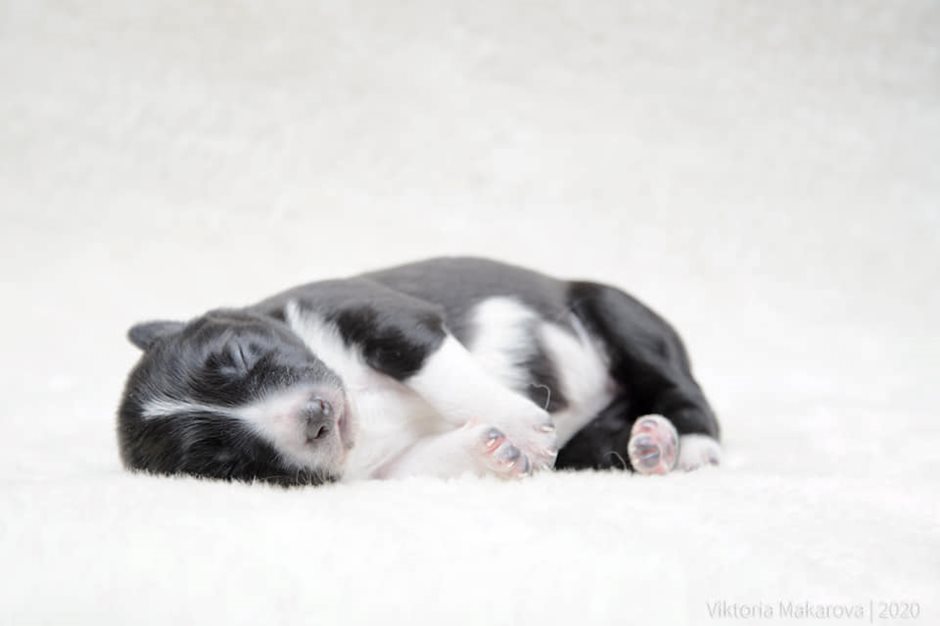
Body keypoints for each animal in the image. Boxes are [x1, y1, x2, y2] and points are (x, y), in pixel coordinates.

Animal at [118, 257, 721, 486]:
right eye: (225, 462)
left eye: (240, 354)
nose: (316, 415)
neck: (359, 403)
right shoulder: (388, 471)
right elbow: (433, 459)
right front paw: (496, 448)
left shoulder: (385, 317)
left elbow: (441, 372)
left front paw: (519, 426)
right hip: (589, 446)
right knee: (605, 445)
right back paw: (652, 445)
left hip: (620, 315)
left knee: (684, 389)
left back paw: (692, 446)